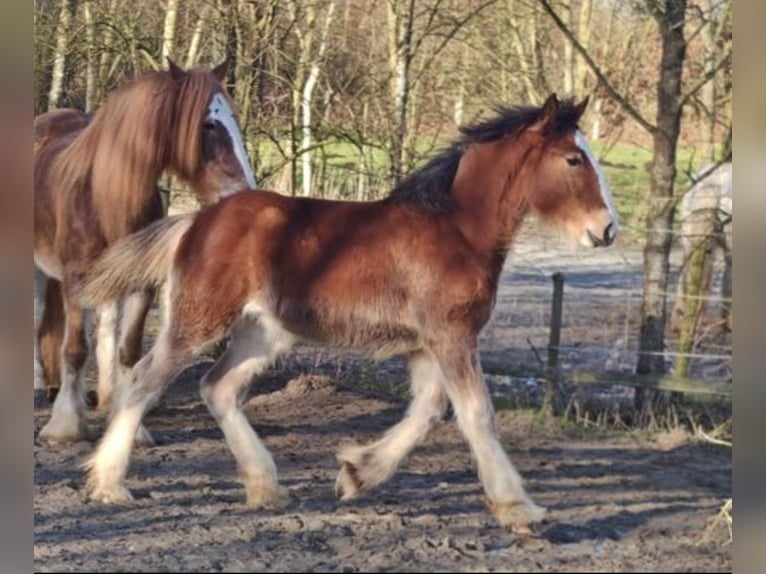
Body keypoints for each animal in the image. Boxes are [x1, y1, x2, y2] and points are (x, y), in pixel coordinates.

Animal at [33, 59, 258, 446]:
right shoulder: (74, 279)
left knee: (105, 330)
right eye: (208, 123)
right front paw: (65, 427)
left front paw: (131, 425)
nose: (244, 193)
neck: (104, 194)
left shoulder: (139, 285)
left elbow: (128, 351)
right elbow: (75, 350)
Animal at [76, 93, 616, 532]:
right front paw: (518, 508)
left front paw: (358, 473)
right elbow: (476, 413)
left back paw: (266, 487)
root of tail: (196, 220)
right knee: (144, 381)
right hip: (199, 321)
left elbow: (427, 411)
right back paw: (108, 484)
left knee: (218, 387)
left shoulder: (428, 345)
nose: (608, 229)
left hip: (264, 333)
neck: (456, 230)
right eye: (573, 159)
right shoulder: (452, 336)